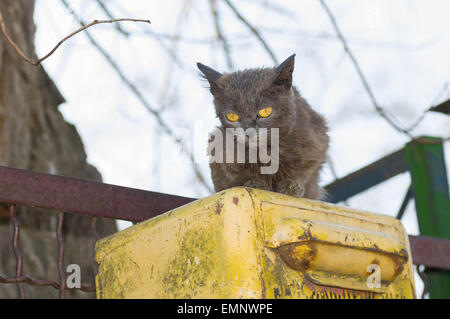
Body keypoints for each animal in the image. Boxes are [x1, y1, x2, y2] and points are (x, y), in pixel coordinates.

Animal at [196, 54, 326, 200]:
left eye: (265, 112)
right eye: (232, 116)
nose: (248, 132)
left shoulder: (318, 138)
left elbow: (306, 170)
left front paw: (292, 186)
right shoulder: (219, 146)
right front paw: (256, 183)